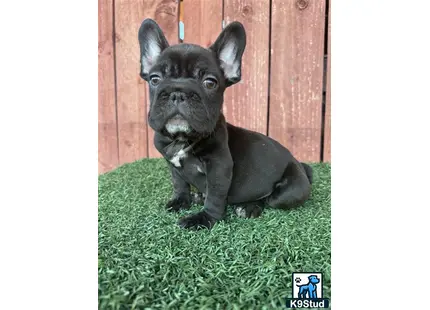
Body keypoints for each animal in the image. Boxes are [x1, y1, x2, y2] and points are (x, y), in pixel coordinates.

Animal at [139, 18, 310, 229]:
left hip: (288, 192)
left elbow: (215, 195)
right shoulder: (173, 165)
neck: (182, 138)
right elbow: (179, 184)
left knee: (269, 198)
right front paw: (180, 201)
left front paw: (204, 219)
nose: (178, 92)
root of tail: (299, 165)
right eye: (154, 79)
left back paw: (248, 207)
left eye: (209, 83)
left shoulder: (219, 167)